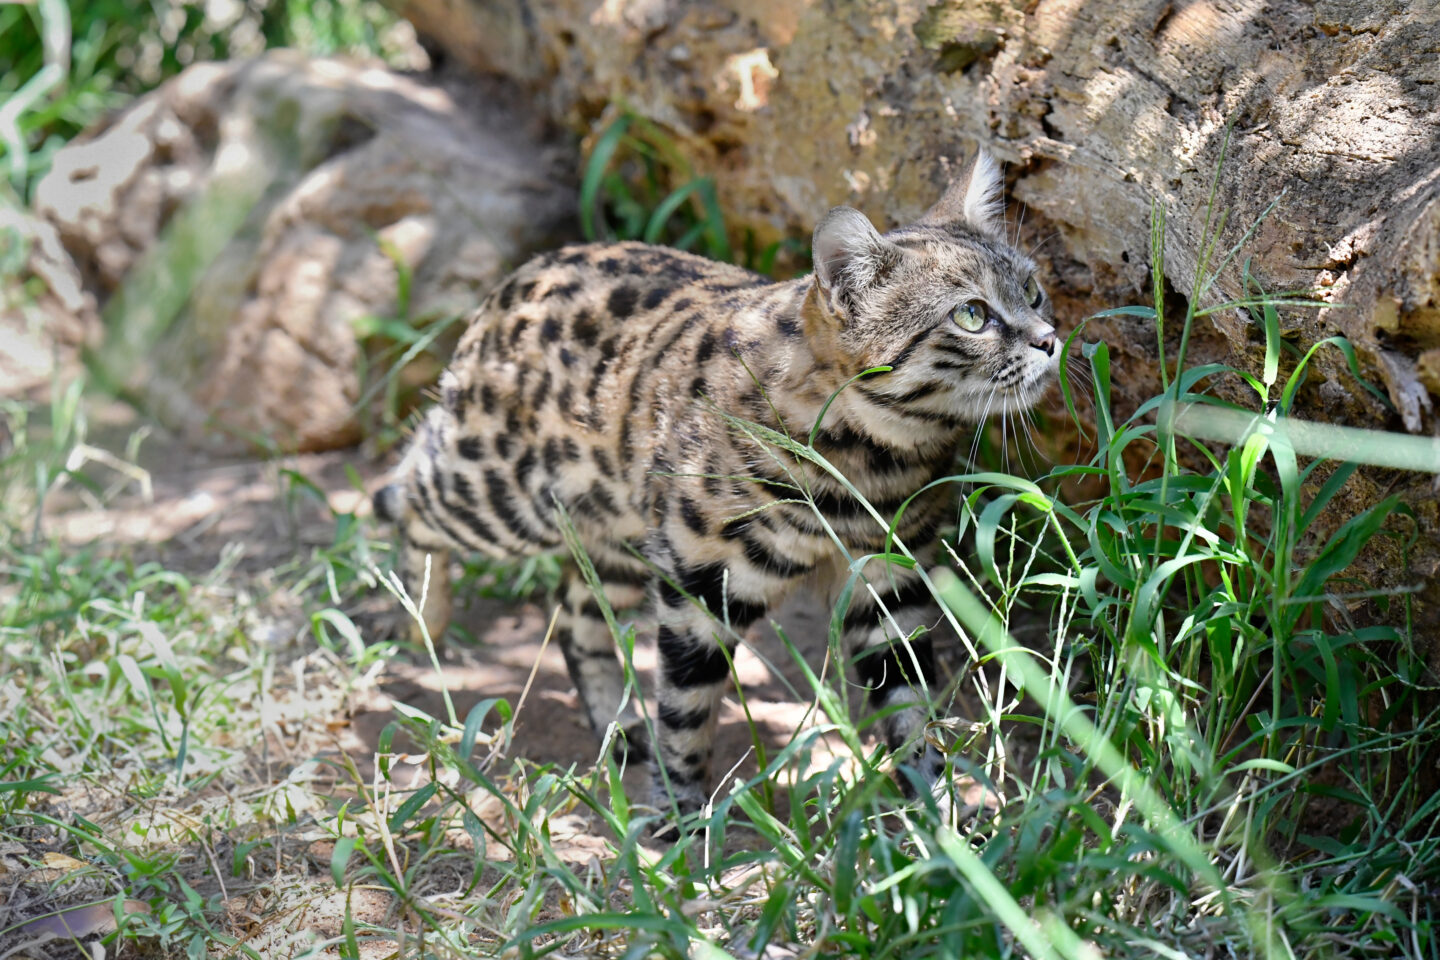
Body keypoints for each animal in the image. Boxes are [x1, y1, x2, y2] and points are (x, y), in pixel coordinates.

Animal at [371, 151, 1059, 829]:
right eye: (972, 315)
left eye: (1033, 291)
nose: (1051, 339)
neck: (868, 464)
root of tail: (516, 279)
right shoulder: (698, 583)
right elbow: (687, 709)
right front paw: (679, 819)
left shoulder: (890, 582)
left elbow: (913, 709)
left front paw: (943, 818)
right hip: (502, 497)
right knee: (400, 489)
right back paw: (421, 615)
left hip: (619, 531)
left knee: (573, 613)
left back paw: (618, 728)